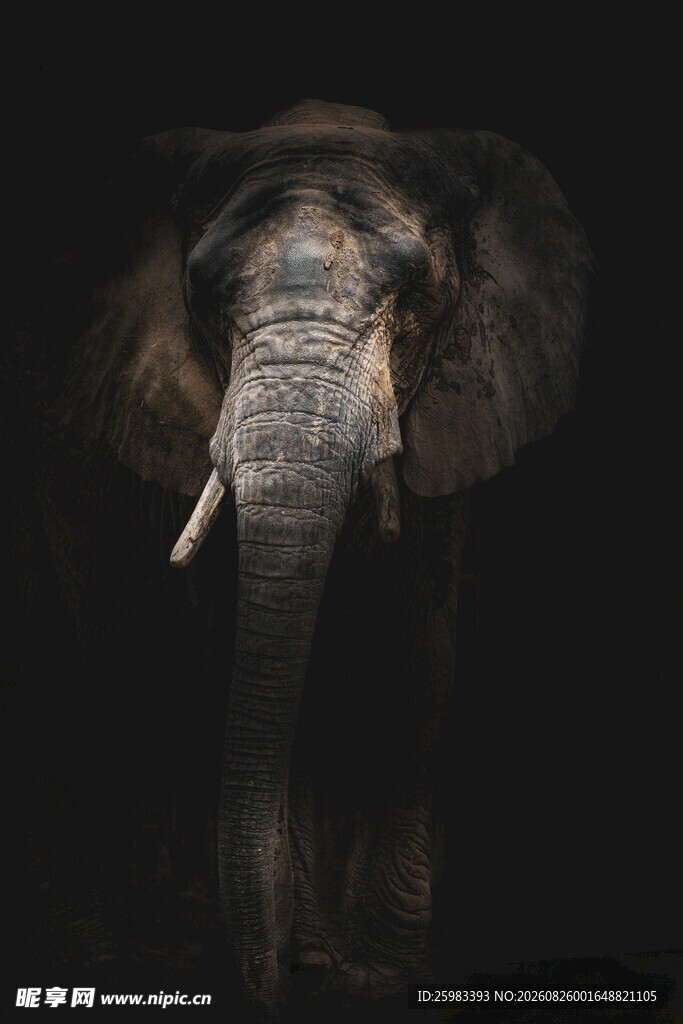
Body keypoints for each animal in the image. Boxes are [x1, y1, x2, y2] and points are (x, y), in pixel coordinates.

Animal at [14, 99, 593, 1020]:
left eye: (415, 297)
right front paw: (313, 961)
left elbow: (420, 659)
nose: (263, 985)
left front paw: (376, 976)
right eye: (204, 300)